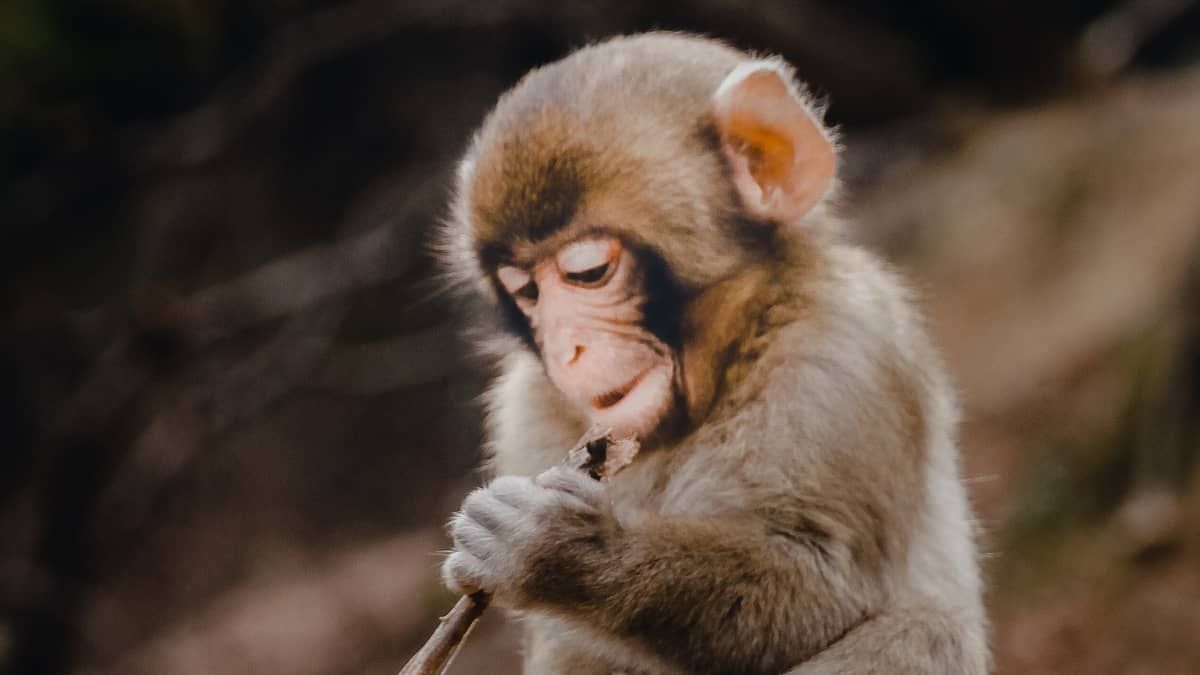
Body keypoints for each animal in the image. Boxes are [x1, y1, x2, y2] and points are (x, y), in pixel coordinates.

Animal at [437, 32, 988, 675]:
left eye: (589, 272)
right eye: (527, 292)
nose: (565, 350)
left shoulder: (845, 353)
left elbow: (828, 587)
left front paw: (561, 551)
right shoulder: (522, 409)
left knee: (926, 630)